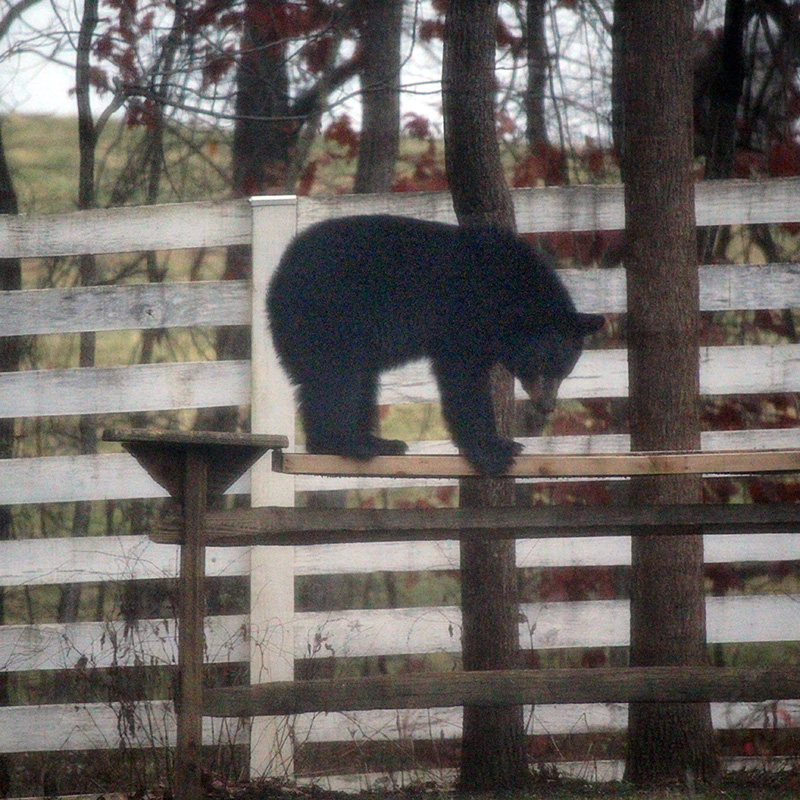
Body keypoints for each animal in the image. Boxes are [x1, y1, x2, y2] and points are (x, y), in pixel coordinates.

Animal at [267, 214, 603, 476]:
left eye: (565, 371)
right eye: (541, 366)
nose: (547, 406)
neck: (507, 291)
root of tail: (278, 276)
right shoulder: (462, 317)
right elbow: (463, 380)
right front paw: (493, 450)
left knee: (354, 381)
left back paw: (373, 442)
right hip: (332, 314)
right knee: (339, 376)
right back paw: (351, 443)